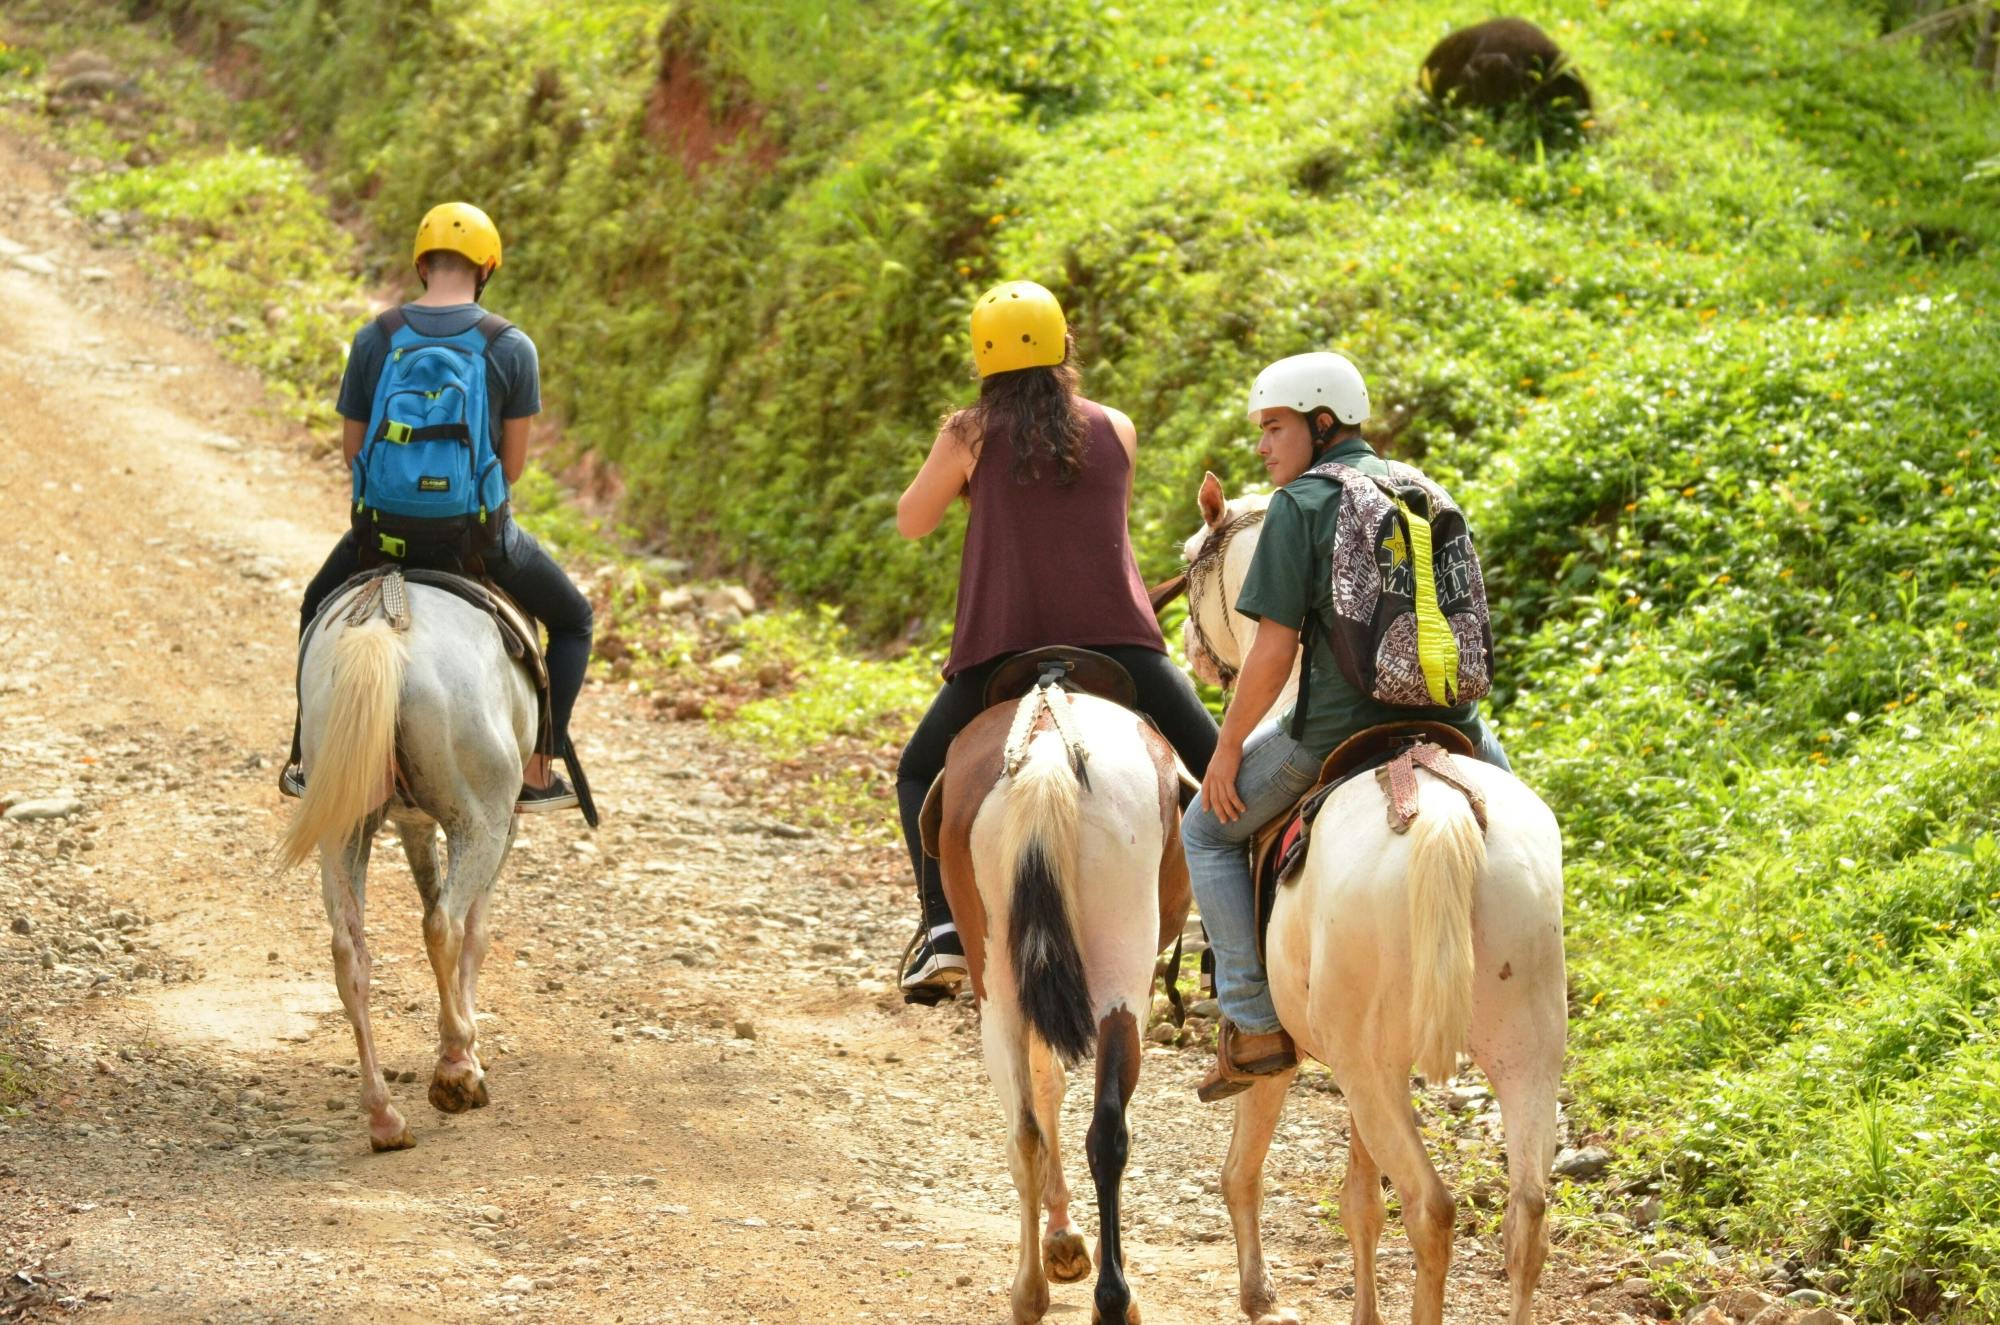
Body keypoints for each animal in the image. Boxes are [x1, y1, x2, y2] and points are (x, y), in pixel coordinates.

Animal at [278, 576, 540, 1160]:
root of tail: (385, 619)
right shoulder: (503, 823)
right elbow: (474, 932)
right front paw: (466, 1046)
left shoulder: (411, 822)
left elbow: (430, 893)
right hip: (482, 818)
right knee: (445, 926)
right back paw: (457, 1069)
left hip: (344, 826)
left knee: (350, 953)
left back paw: (385, 1119)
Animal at [932, 680, 1192, 1320]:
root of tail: (1049, 755)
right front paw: (1067, 1241)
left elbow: (1046, 1087)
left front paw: (1061, 1241)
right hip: (1123, 976)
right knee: (1105, 1127)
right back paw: (1109, 1296)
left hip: (999, 991)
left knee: (1030, 1130)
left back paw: (1031, 1291)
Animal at [1176, 474, 1568, 1325]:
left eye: (1190, 564)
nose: (1191, 653)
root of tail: (1442, 812)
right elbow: (1361, 1200)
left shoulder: (1284, 1051)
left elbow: (1244, 1164)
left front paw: (1257, 1290)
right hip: (1523, 1048)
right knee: (1525, 1212)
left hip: (1372, 1066)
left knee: (1433, 1208)